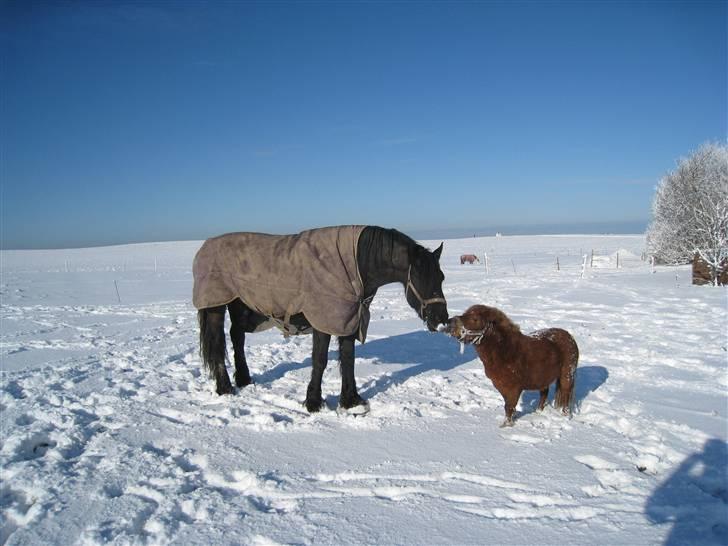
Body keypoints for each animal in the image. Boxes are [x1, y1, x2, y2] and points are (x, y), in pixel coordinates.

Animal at [196, 223, 446, 410]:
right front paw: (313, 402)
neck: (357, 263)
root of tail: (204, 246)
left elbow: (348, 358)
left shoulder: (348, 319)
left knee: (236, 337)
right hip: (217, 307)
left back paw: (244, 379)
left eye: (441, 277)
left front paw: (351, 401)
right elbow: (320, 360)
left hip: (241, 308)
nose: (441, 321)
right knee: (218, 343)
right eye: (421, 277)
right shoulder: (323, 320)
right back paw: (225, 387)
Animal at [444, 302, 580, 424]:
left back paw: (565, 416)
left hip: (566, 376)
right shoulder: (502, 387)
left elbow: (509, 407)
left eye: (475, 319)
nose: (450, 323)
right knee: (544, 394)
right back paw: (538, 412)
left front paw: (507, 425)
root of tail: (569, 337)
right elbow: (508, 406)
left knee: (566, 395)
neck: (505, 351)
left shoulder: (513, 389)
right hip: (543, 379)